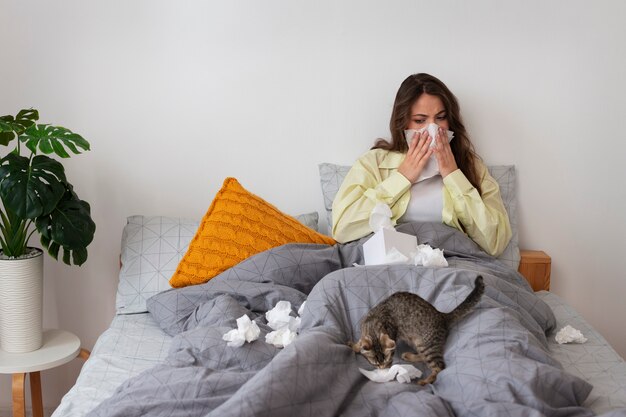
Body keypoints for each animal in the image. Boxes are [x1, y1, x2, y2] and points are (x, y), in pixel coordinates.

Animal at [352, 274, 482, 386]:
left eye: (388, 361)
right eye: (375, 363)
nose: (384, 368)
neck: (372, 324)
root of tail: (442, 316)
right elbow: (359, 343)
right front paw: (354, 346)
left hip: (426, 345)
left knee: (439, 366)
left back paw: (425, 381)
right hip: (417, 343)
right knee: (425, 358)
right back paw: (409, 356)